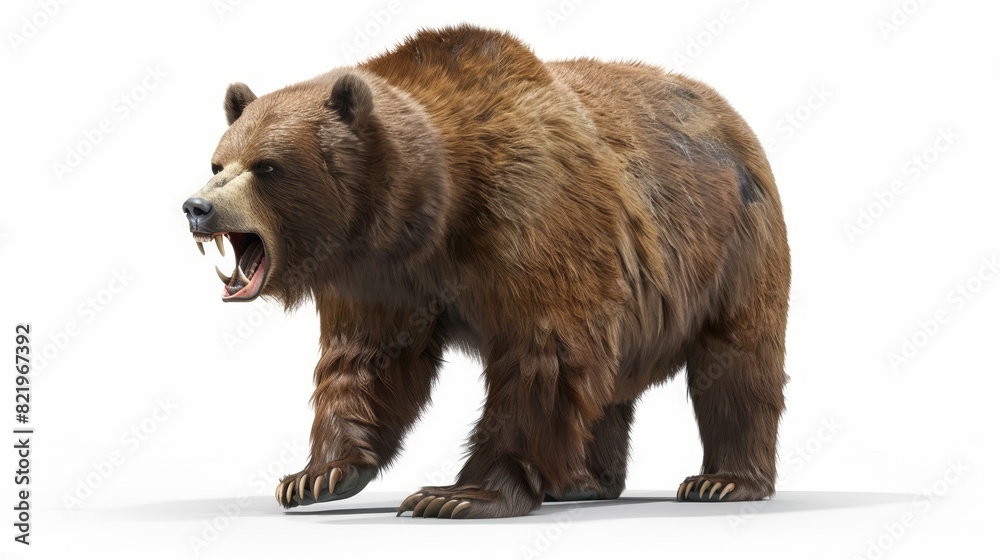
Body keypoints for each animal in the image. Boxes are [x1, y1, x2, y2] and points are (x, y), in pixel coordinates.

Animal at [182, 24, 790, 519]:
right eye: (219, 161)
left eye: (267, 167)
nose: (197, 206)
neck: (432, 211)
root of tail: (730, 113)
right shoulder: (383, 277)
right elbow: (368, 360)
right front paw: (316, 476)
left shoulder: (532, 211)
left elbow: (544, 356)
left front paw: (456, 494)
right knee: (609, 382)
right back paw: (583, 480)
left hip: (734, 244)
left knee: (737, 359)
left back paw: (723, 481)